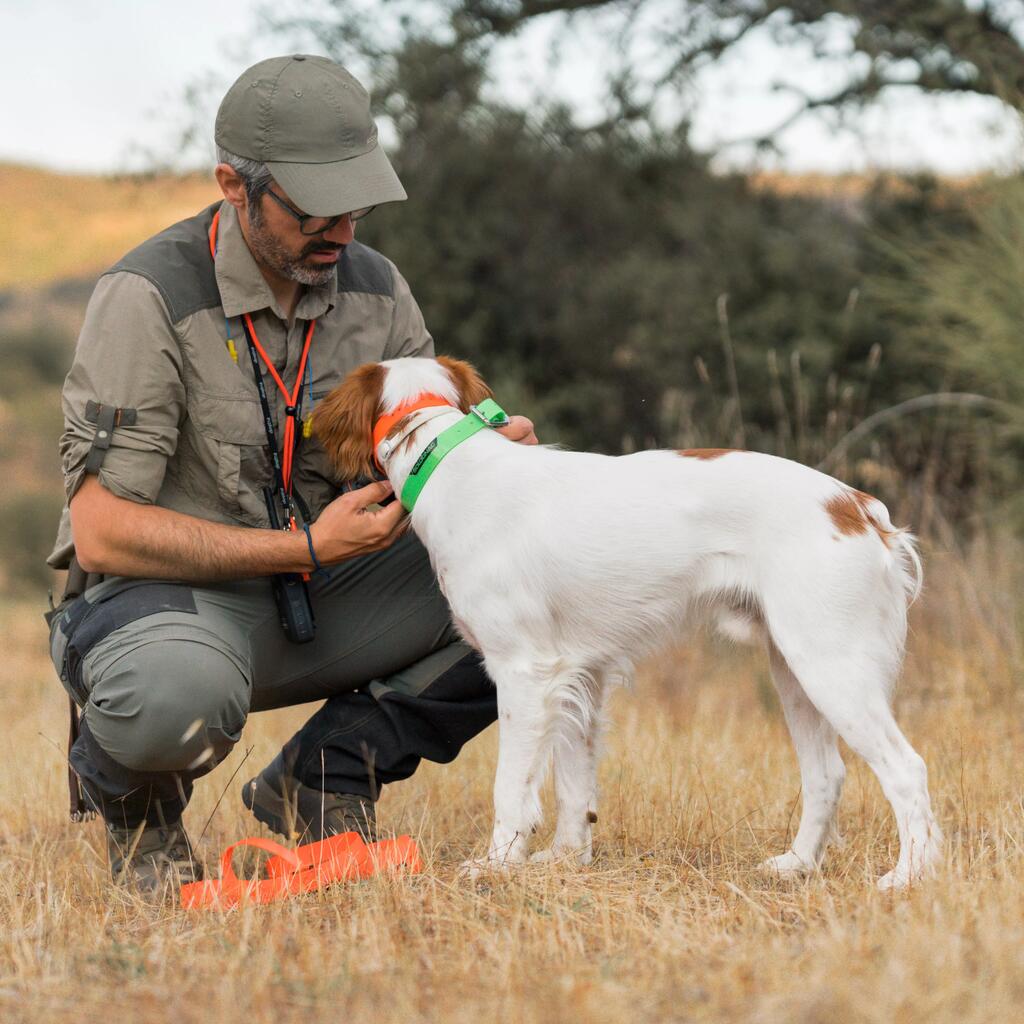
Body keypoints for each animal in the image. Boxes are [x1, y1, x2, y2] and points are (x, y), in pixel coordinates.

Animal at [313, 358, 942, 888]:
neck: (443, 457)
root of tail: (858, 505)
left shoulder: (523, 672)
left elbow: (511, 788)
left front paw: (496, 864)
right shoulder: (578, 676)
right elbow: (573, 784)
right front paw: (565, 859)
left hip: (829, 666)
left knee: (906, 769)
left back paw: (908, 876)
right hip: (795, 671)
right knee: (826, 774)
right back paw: (796, 865)